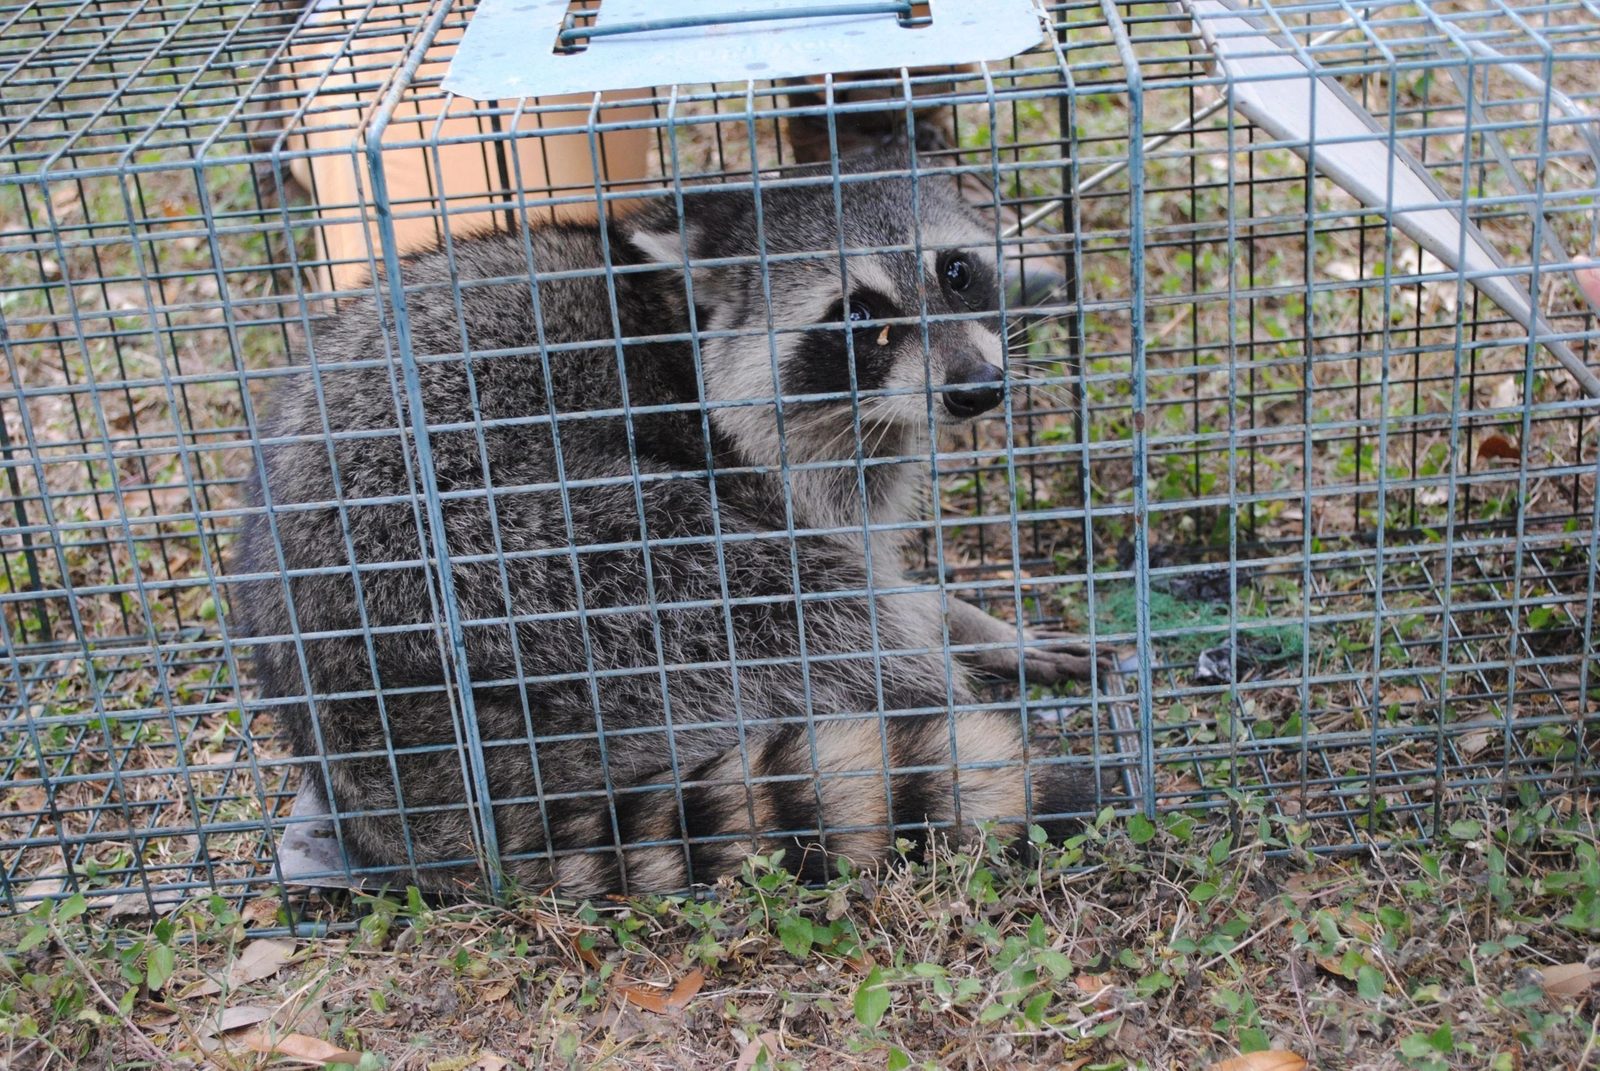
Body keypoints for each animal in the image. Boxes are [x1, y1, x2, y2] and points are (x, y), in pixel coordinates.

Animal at [232, 150, 1105, 897]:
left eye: (955, 271)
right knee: (797, 608)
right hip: (513, 565)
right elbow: (847, 579)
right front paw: (955, 642)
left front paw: (981, 625)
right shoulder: (756, 467)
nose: (976, 388)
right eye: (859, 315)